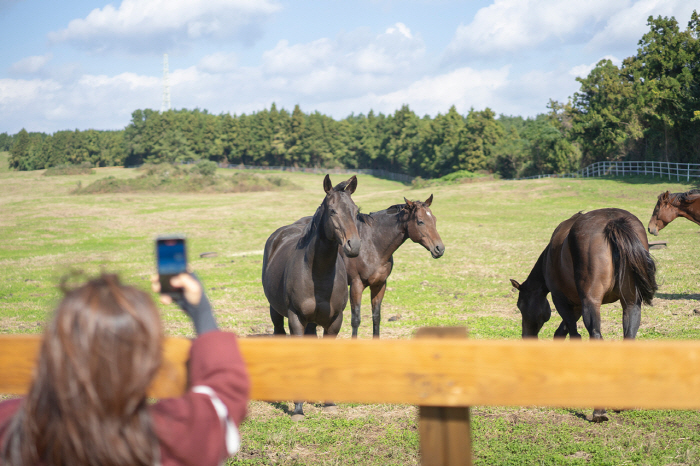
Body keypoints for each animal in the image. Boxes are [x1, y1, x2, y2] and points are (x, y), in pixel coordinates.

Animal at [262, 176, 360, 422]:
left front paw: (329, 403)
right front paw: (297, 409)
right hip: (276, 312)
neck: (317, 273)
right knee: (279, 335)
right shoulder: (296, 318)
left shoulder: (335, 320)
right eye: (332, 210)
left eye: (356, 211)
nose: (354, 246)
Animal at [300, 195, 446, 336]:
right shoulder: (356, 285)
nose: (440, 249)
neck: (373, 245)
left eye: (434, 219)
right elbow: (355, 320)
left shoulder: (379, 284)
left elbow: (376, 317)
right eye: (420, 221)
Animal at [508, 208, 656, 422]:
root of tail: (614, 221)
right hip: (630, 304)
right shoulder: (576, 306)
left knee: (595, 337)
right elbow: (561, 333)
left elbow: (573, 335)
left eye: (520, 306)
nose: (526, 338)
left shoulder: (562, 301)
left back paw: (599, 411)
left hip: (591, 303)